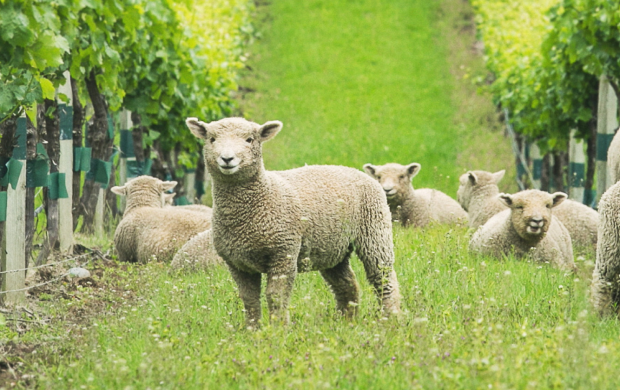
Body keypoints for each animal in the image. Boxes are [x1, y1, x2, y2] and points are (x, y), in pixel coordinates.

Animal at [185, 116, 402, 326]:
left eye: (250, 139)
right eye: (212, 139)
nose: (227, 159)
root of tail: (351, 170)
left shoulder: (283, 252)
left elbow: (276, 296)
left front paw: (278, 328)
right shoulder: (237, 263)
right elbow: (249, 299)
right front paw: (252, 330)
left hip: (375, 231)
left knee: (383, 277)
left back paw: (390, 317)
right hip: (332, 248)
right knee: (346, 283)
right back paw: (347, 320)